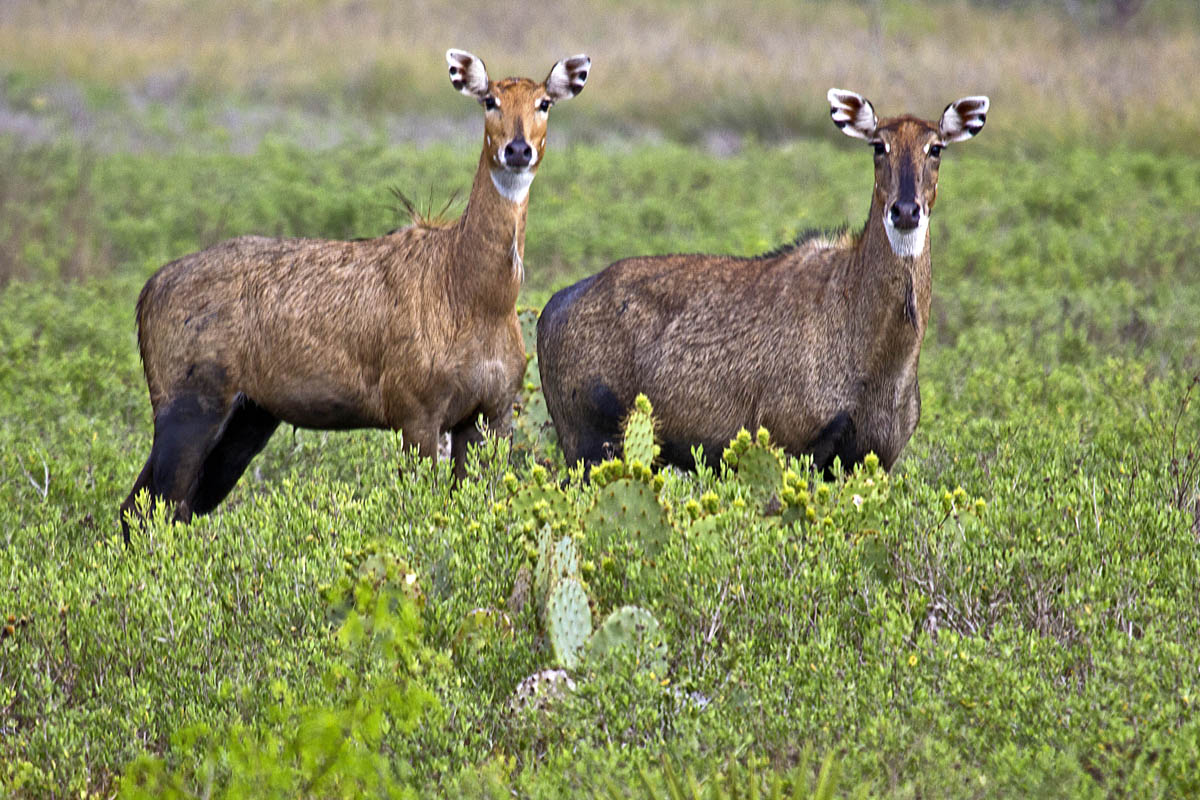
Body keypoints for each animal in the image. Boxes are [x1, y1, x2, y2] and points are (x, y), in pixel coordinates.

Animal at [120, 48, 590, 537]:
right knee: (149, 507)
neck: (474, 295)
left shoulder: (491, 411)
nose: (517, 149)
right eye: (490, 100)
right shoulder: (415, 410)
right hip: (189, 405)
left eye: (544, 103)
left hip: (248, 418)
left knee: (163, 506)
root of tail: (146, 294)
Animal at [540, 87, 988, 474]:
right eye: (878, 145)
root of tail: (550, 309)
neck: (876, 357)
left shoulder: (870, 458)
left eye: (936, 147)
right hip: (589, 444)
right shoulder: (788, 441)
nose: (906, 210)